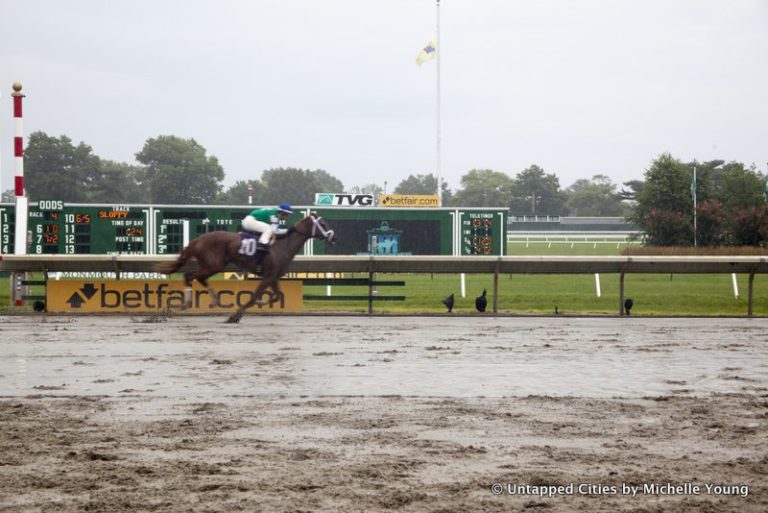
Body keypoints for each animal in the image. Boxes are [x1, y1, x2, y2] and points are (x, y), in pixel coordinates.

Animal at [154, 214, 336, 322]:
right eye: (323, 223)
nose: (333, 238)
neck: (283, 245)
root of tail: (197, 240)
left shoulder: (273, 276)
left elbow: (276, 296)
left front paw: (262, 302)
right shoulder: (268, 276)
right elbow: (254, 297)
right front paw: (235, 315)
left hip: (213, 265)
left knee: (197, 277)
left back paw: (214, 299)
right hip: (213, 265)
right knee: (191, 276)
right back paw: (187, 303)